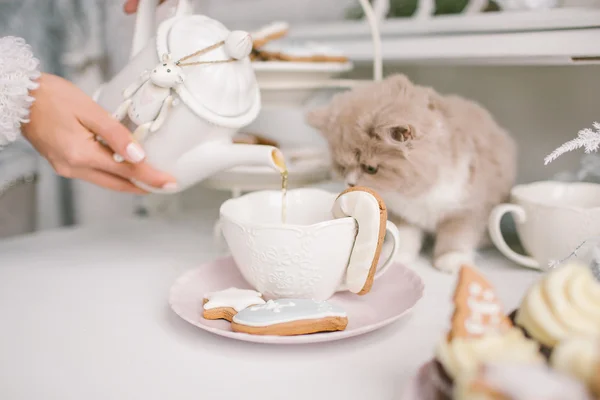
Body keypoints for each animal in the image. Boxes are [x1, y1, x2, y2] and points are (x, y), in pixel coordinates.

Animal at [308, 73, 516, 274]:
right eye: (342, 166)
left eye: (371, 169)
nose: (350, 183)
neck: (418, 192)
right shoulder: (404, 214)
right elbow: (405, 235)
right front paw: (398, 256)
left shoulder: (466, 209)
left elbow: (457, 237)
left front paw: (451, 260)